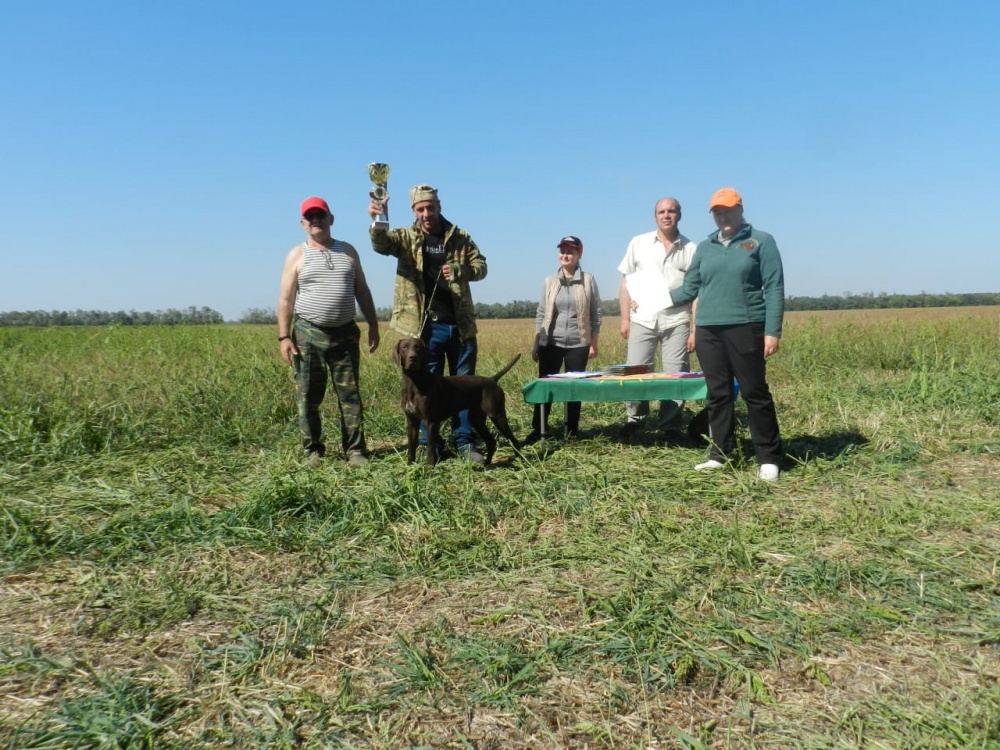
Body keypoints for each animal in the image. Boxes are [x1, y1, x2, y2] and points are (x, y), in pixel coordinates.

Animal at [392, 340, 524, 468]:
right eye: (404, 347)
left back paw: (521, 462)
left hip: (497, 415)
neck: (414, 382)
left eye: (418, 347)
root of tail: (492, 379)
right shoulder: (412, 421)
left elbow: (430, 448)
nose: (412, 358)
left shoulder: (431, 421)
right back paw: (487, 464)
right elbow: (411, 448)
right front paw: (410, 467)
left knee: (515, 441)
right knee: (491, 441)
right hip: (477, 420)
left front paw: (429, 468)